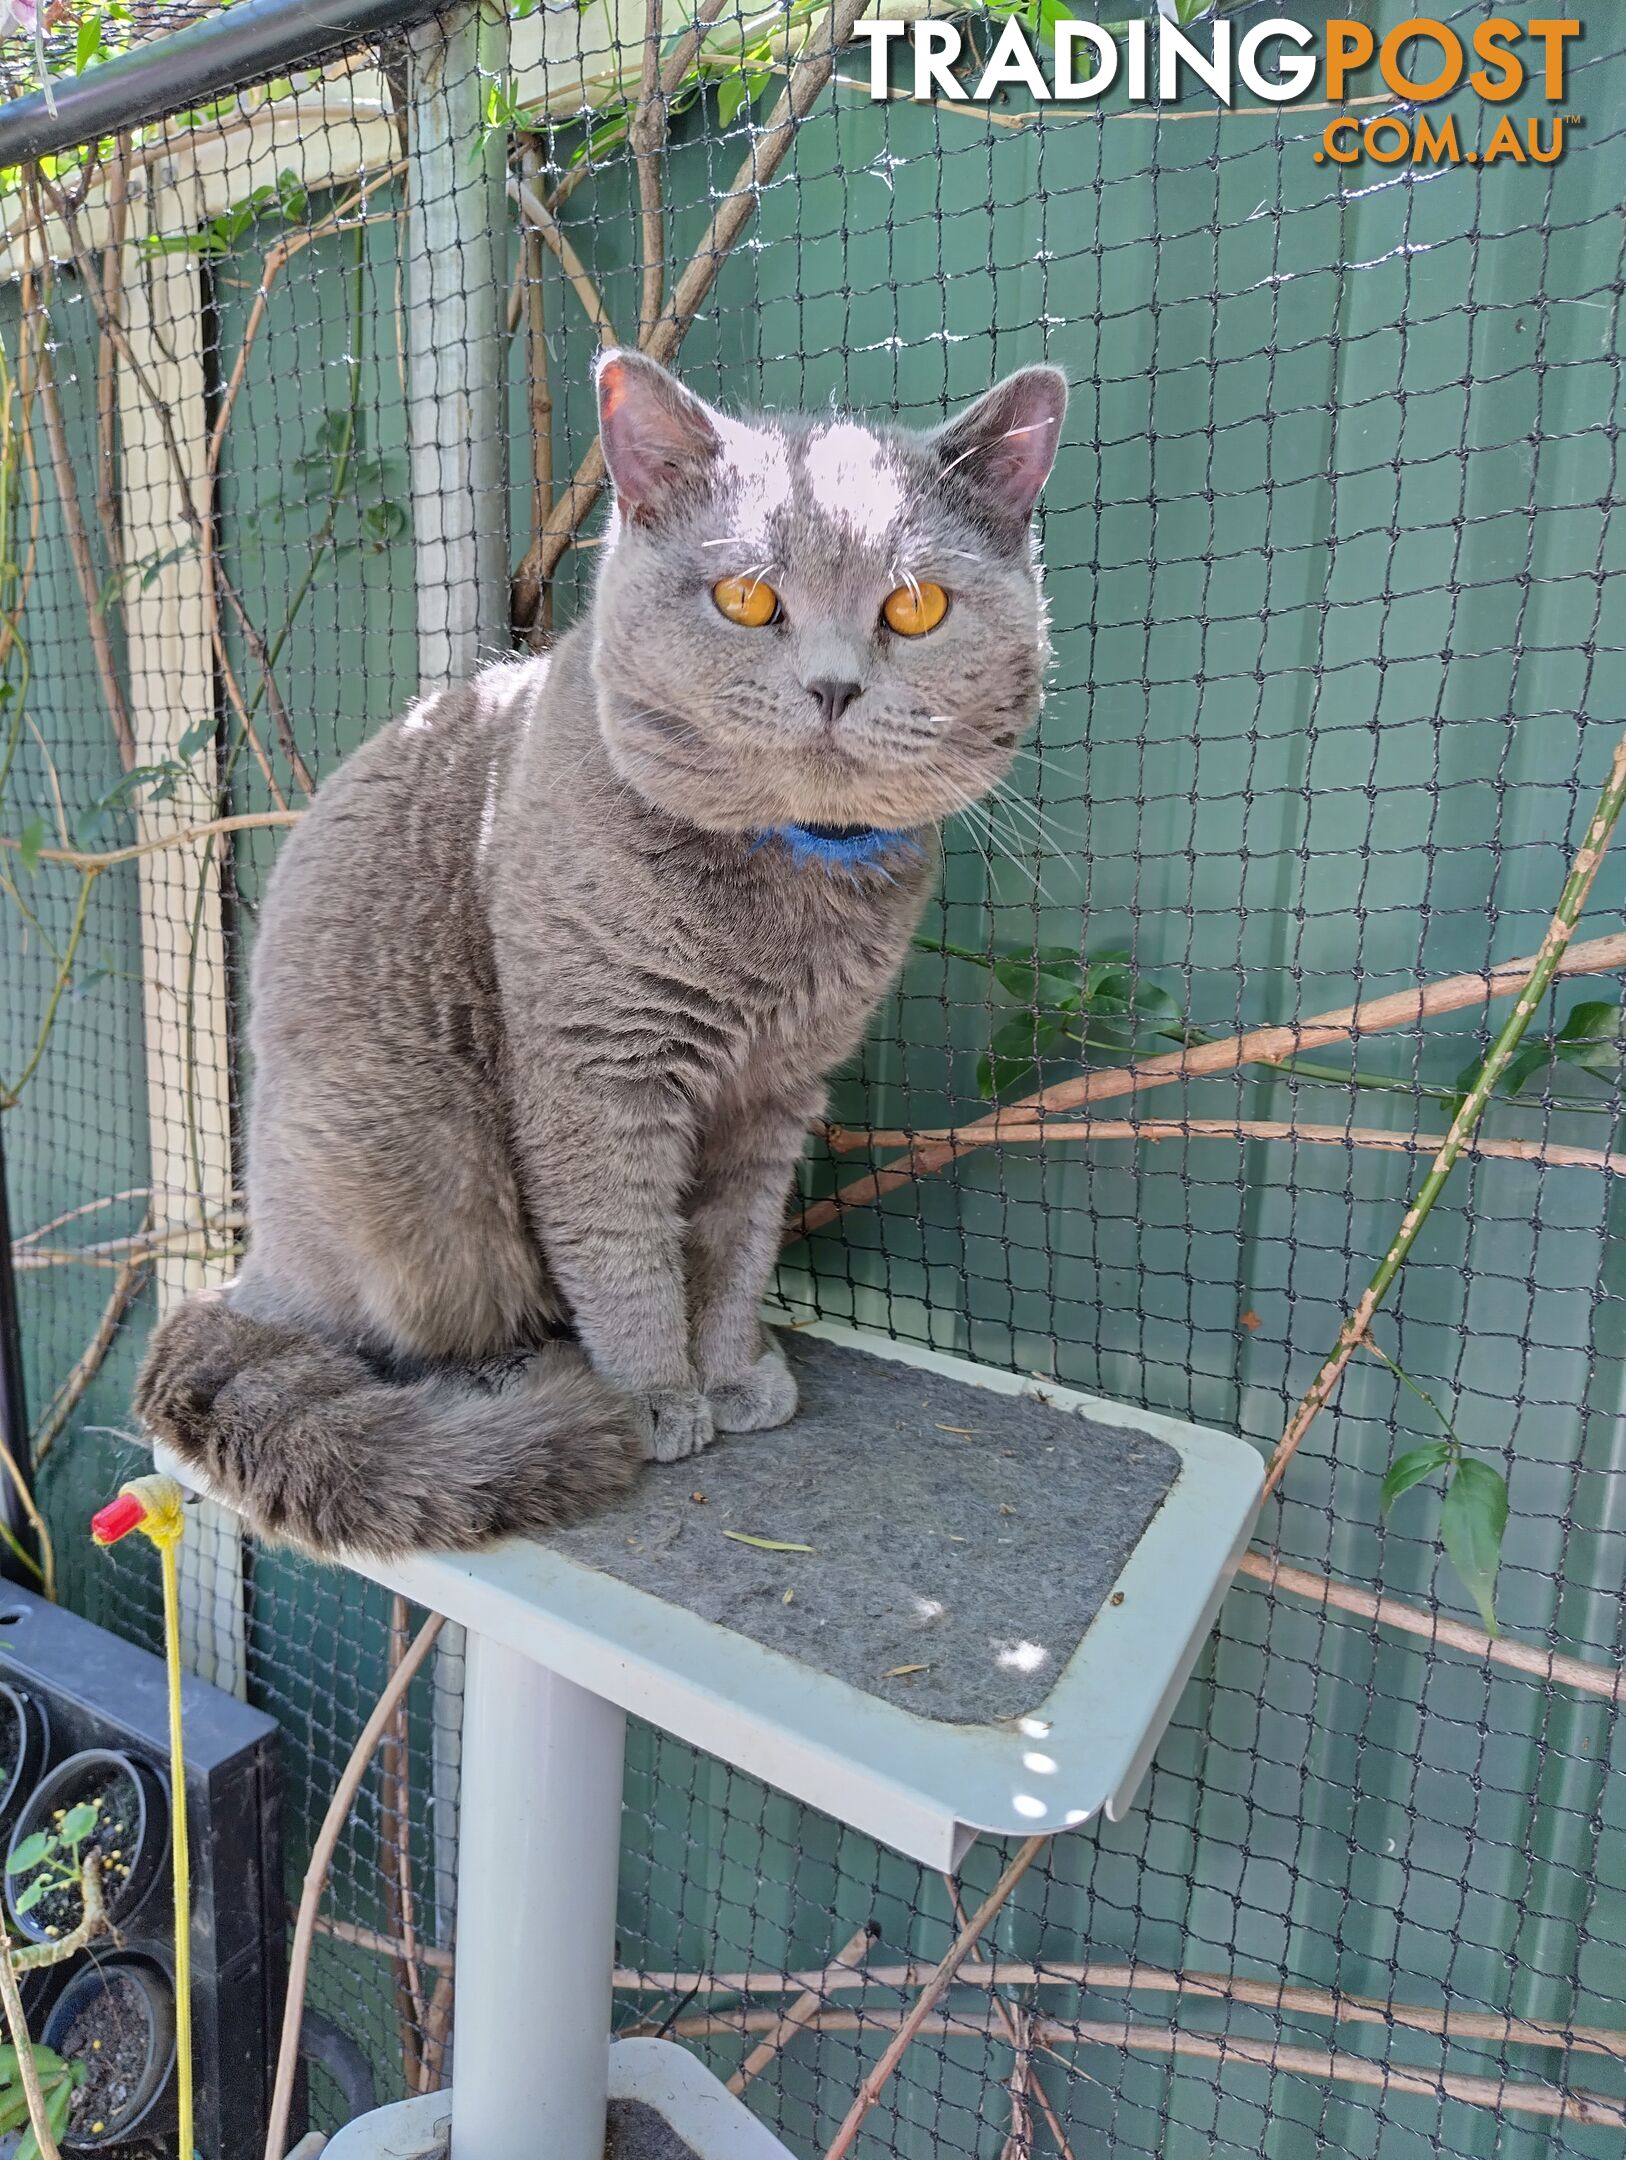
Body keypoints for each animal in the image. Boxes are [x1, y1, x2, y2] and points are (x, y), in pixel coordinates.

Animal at [139, 349, 1066, 1555]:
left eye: (916, 607)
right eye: (745, 598)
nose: (833, 685)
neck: (785, 899)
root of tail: (249, 1270)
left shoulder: (780, 1094)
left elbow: (733, 1249)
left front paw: (732, 1369)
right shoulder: (598, 1070)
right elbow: (622, 1245)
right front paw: (654, 1394)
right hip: (415, 1156)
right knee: (382, 1327)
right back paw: (512, 1379)